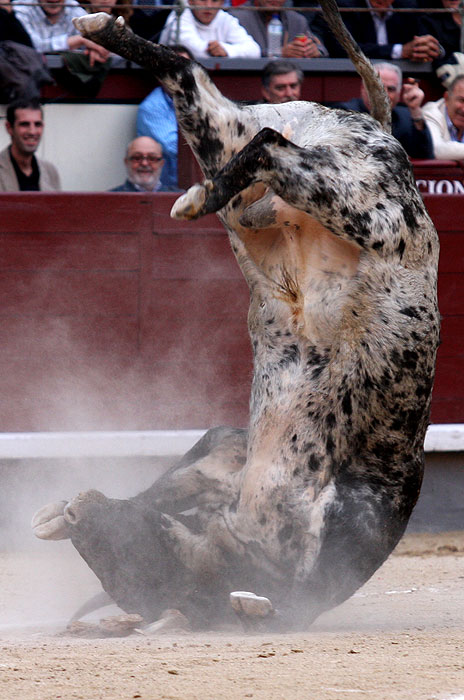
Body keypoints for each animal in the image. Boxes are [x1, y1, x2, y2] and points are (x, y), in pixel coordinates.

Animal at [31, 0, 440, 632]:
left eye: (149, 560)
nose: (80, 508)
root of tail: (383, 134)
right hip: (338, 189)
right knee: (255, 134)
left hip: (314, 179)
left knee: (225, 108)